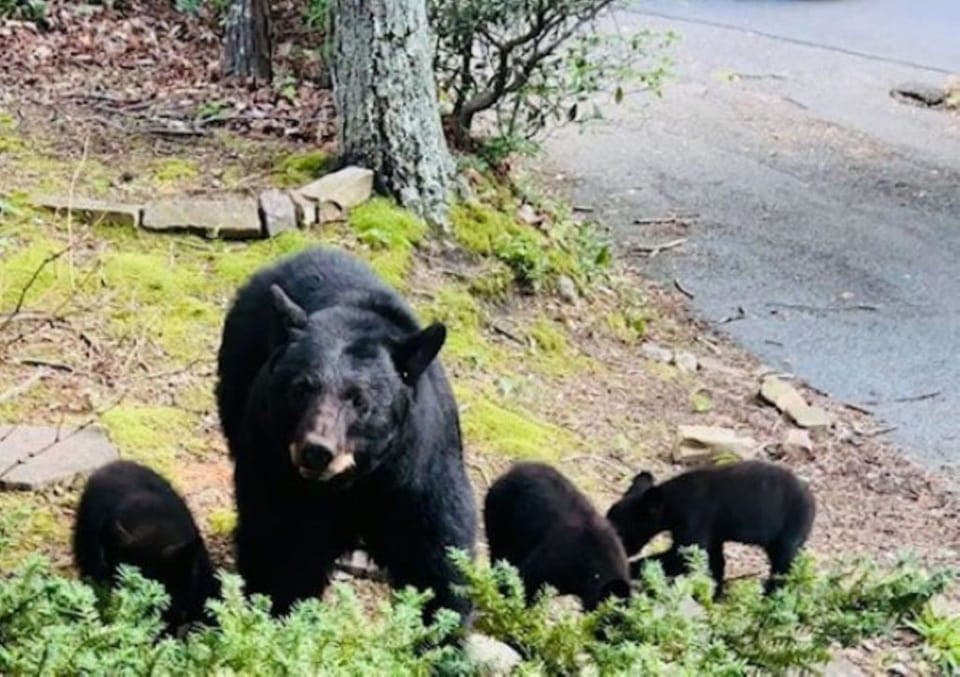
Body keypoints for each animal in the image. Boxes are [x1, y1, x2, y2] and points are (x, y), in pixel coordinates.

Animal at [215, 246, 476, 620]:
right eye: (301, 388)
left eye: (360, 400)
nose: (317, 450)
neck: (354, 483)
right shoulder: (276, 466)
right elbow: (280, 545)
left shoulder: (418, 472)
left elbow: (436, 554)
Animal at [606, 460, 815, 595]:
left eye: (621, 532)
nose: (623, 552)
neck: (672, 505)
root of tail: (813, 502)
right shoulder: (714, 534)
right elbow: (714, 561)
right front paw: (714, 593)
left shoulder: (695, 521)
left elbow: (683, 557)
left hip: (791, 528)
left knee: (784, 564)